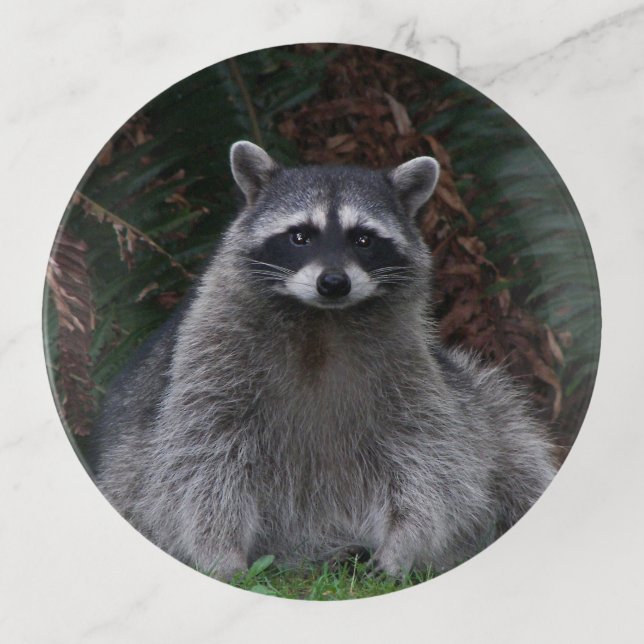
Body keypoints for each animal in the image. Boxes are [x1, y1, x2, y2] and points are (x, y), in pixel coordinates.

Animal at [92, 141, 556, 581]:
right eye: (300, 236)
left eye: (363, 239)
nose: (333, 282)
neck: (322, 320)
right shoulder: (208, 356)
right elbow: (201, 455)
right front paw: (219, 548)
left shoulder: (410, 364)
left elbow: (427, 452)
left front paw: (404, 541)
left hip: (481, 401)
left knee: (514, 447)